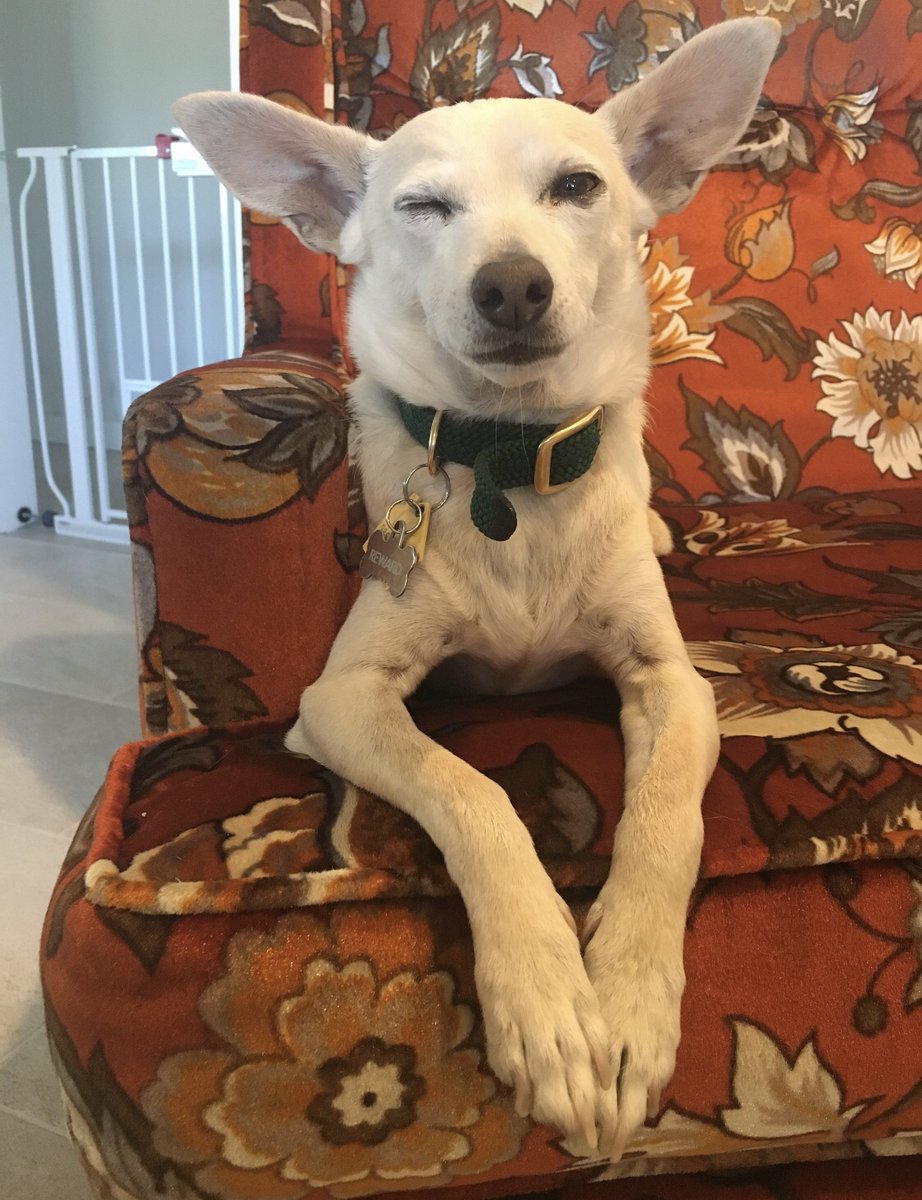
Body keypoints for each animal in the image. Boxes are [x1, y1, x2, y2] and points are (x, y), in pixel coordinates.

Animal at [173, 16, 780, 1162]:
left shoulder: (672, 684)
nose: (510, 285)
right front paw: (547, 1000)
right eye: (422, 207)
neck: (511, 456)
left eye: (578, 185)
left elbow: (665, 821)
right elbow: (476, 794)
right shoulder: (342, 700)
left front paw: (629, 999)